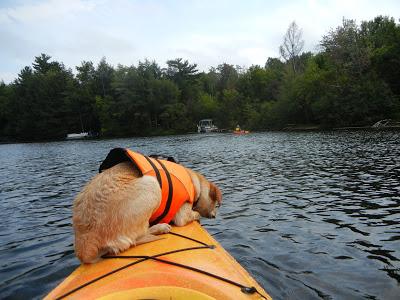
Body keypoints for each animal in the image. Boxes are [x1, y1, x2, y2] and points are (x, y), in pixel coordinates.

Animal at [72, 149, 222, 264]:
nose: (215, 216)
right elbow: (192, 214)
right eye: (216, 204)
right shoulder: (182, 215)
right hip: (152, 185)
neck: (193, 181)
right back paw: (160, 228)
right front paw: (197, 216)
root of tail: (85, 248)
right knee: (135, 238)